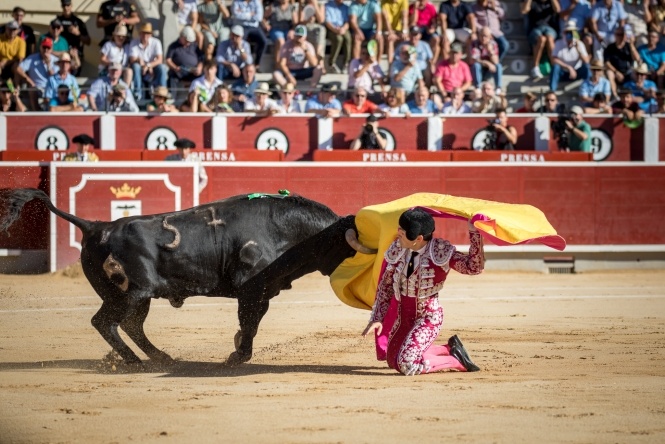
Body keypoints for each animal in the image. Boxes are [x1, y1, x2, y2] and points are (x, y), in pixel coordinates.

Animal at [0, 189, 374, 366]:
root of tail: (95, 225)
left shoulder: (263, 292)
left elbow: (250, 324)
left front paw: (237, 347)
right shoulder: (252, 288)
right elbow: (250, 322)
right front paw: (238, 356)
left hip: (137, 296)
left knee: (130, 325)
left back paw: (160, 358)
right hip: (133, 291)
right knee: (105, 322)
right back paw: (135, 362)